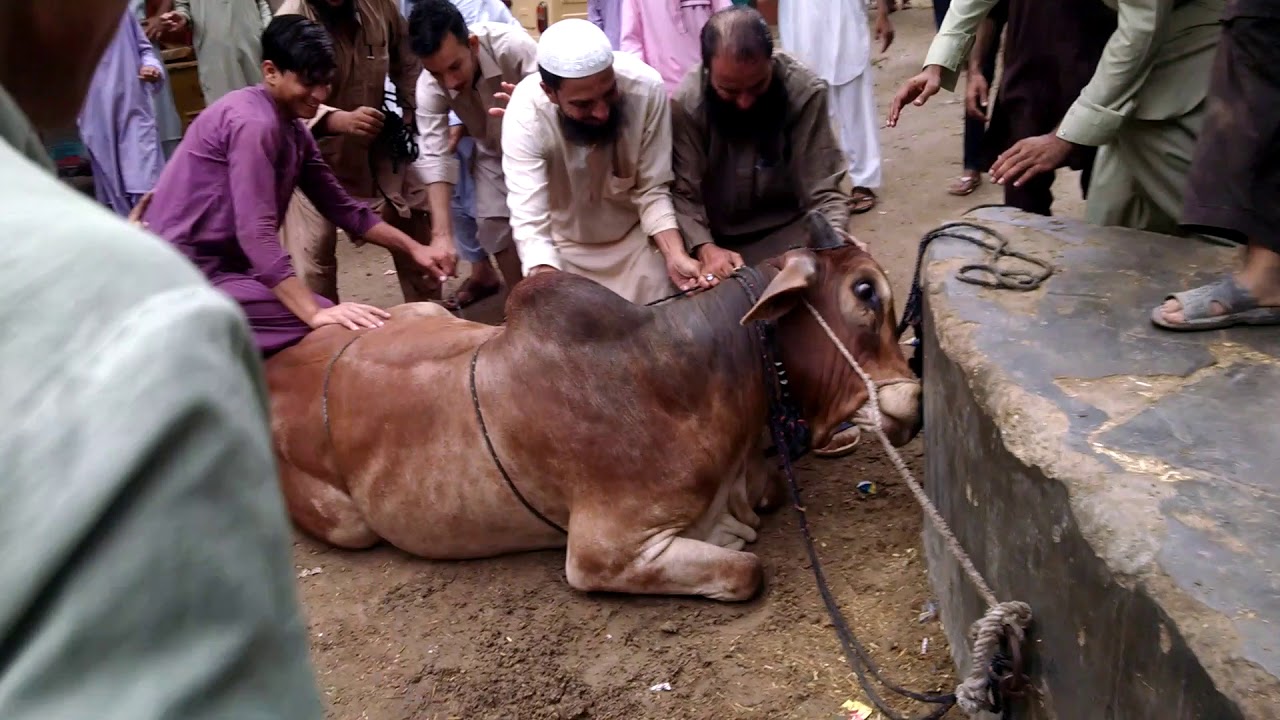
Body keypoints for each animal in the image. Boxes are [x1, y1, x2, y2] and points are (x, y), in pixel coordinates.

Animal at [266, 215, 921, 602]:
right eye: (864, 291)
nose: (915, 401)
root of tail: (279, 362)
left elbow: (771, 490)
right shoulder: (603, 554)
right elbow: (745, 570)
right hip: (347, 524)